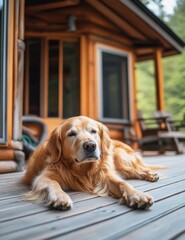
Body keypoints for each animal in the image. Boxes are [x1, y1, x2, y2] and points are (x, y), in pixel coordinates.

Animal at [23, 116, 161, 210]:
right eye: (71, 134)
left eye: (93, 131)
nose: (90, 145)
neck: (82, 170)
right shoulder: (43, 177)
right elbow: (53, 182)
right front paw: (60, 196)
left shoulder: (104, 175)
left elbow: (122, 183)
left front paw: (137, 194)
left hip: (120, 157)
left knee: (136, 170)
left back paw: (150, 175)